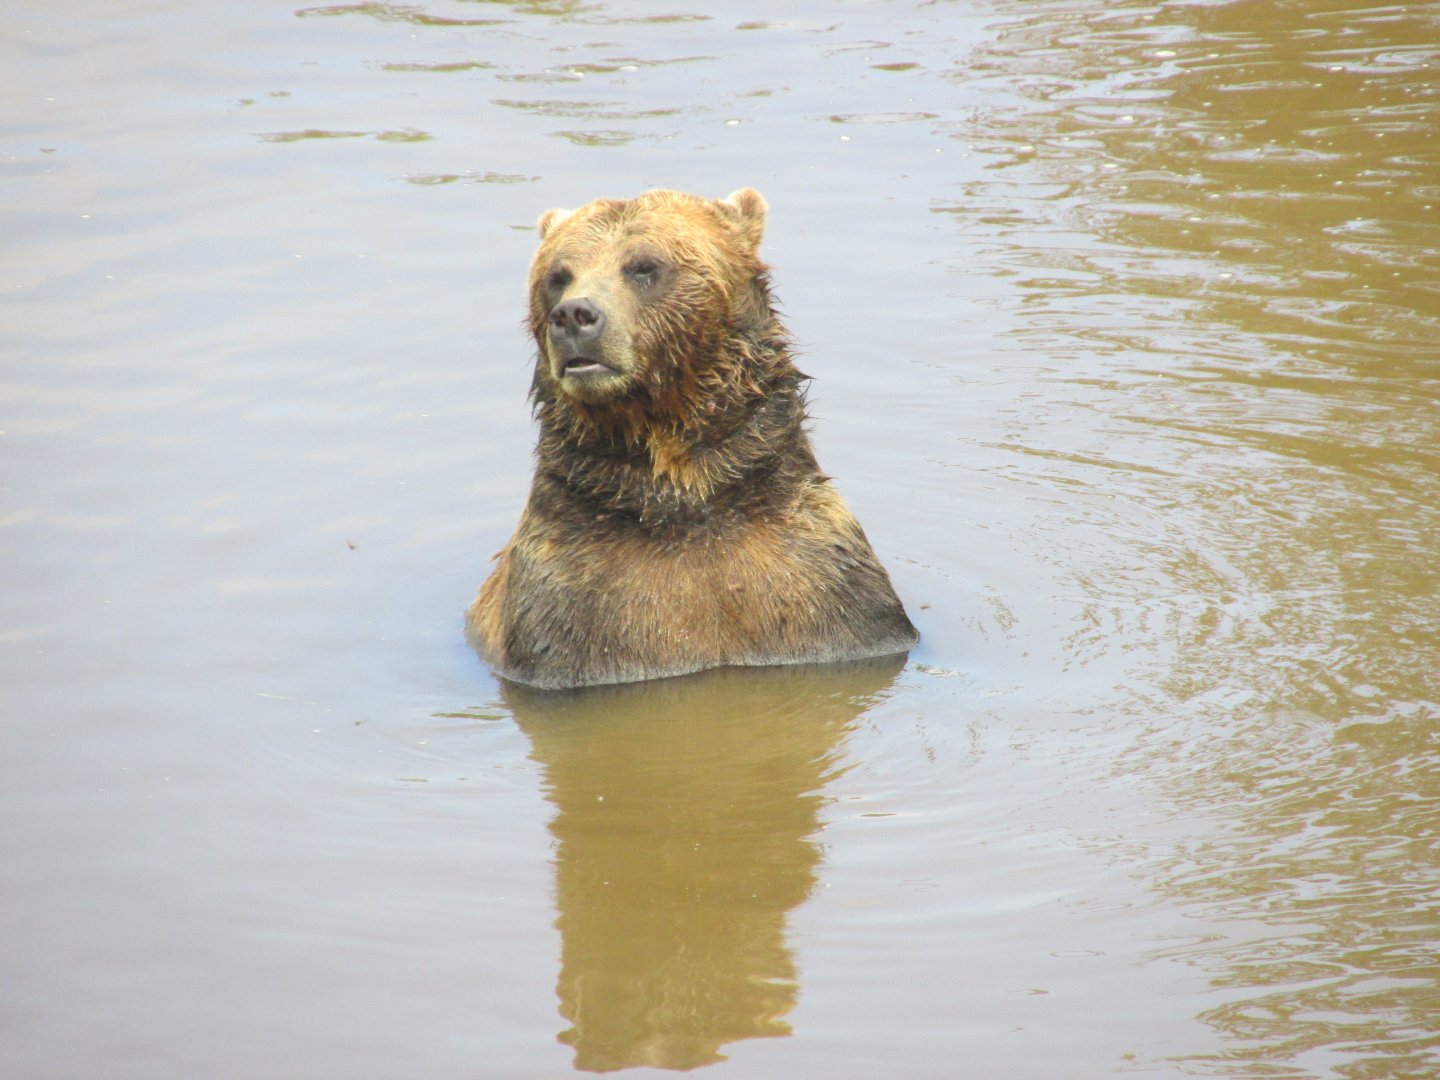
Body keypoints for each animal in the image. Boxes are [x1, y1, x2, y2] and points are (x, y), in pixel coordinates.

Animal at [466, 187, 918, 690]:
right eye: (557, 275)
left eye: (644, 266)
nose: (574, 314)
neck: (682, 495)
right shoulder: (568, 601)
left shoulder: (819, 587)